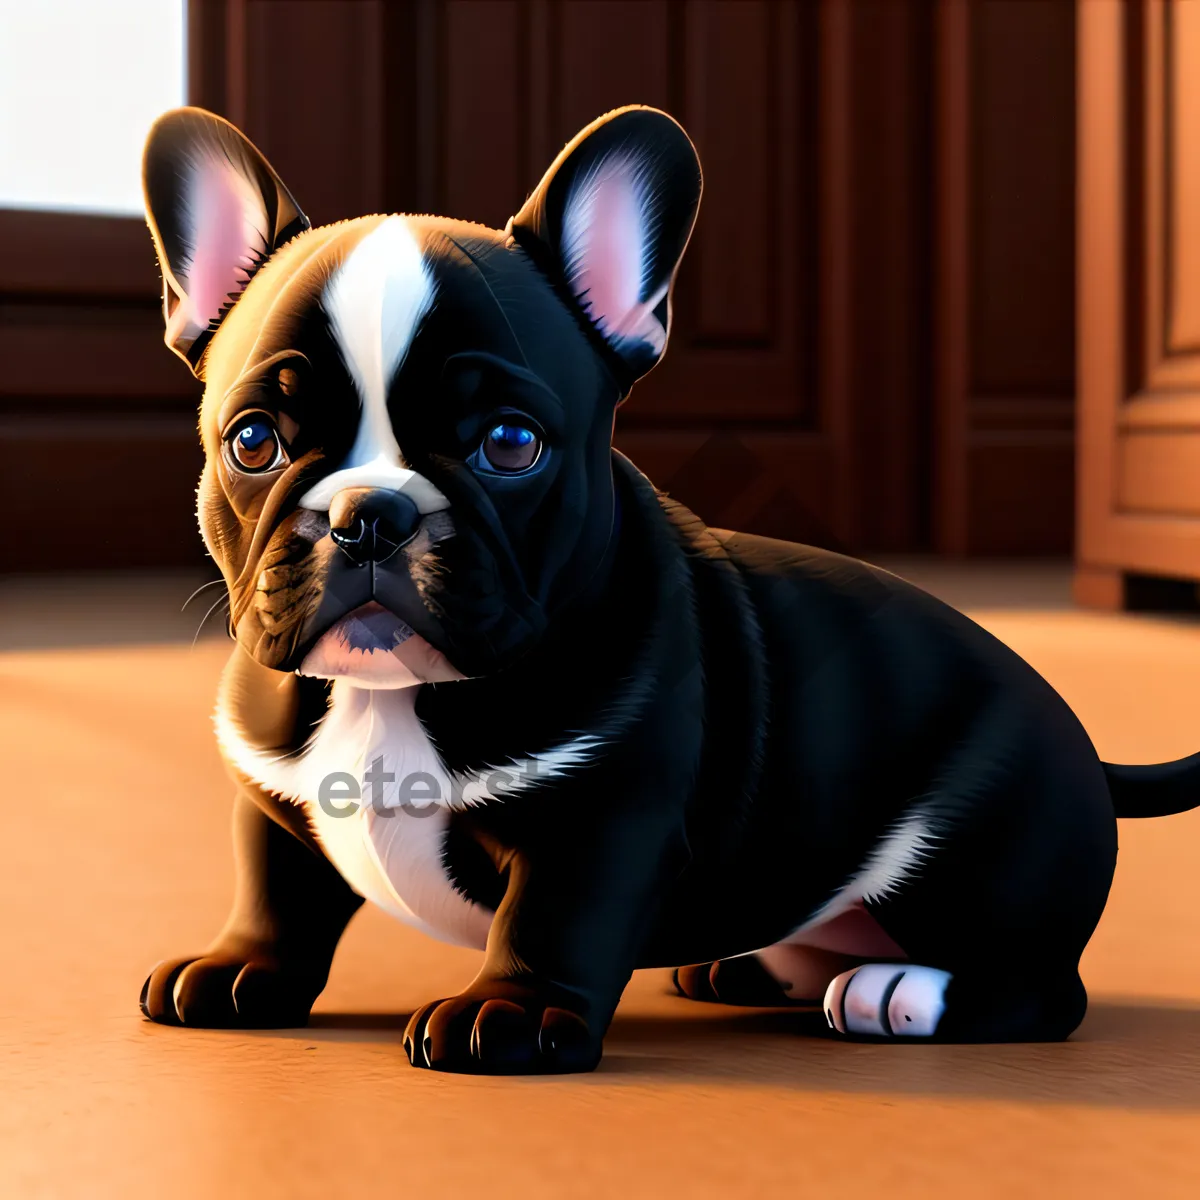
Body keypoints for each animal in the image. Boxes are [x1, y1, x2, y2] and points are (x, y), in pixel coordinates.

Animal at [138, 105, 1200, 1080]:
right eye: (254, 442)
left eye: (511, 444)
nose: (368, 515)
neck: (390, 697)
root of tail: (1094, 753)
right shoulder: (274, 793)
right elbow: (275, 885)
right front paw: (240, 969)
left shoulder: (604, 811)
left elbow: (555, 915)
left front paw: (509, 1015)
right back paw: (748, 966)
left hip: (978, 847)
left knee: (1038, 988)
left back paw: (897, 991)